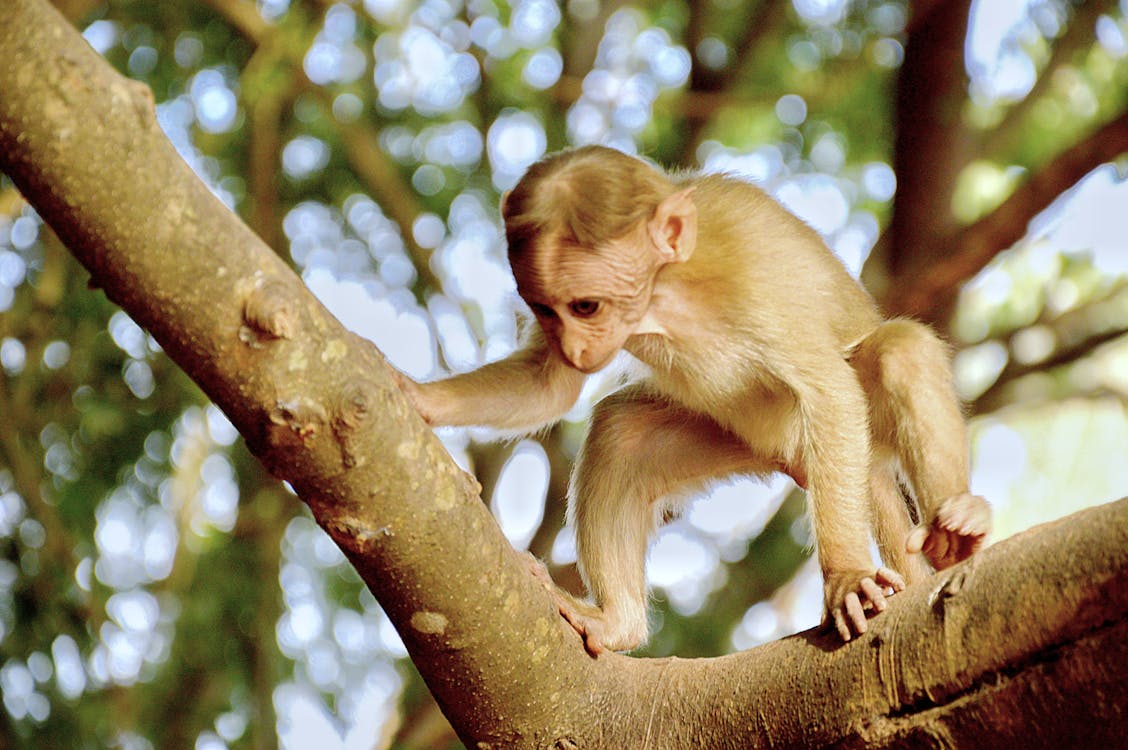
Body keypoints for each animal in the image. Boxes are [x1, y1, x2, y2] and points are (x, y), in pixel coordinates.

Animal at [394, 144, 988, 649]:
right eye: (546, 310)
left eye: (586, 306)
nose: (576, 347)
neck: (667, 293)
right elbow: (551, 386)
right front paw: (418, 398)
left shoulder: (756, 285)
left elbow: (830, 390)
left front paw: (844, 575)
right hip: (759, 443)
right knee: (622, 432)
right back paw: (617, 623)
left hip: (850, 439)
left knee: (902, 352)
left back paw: (956, 526)